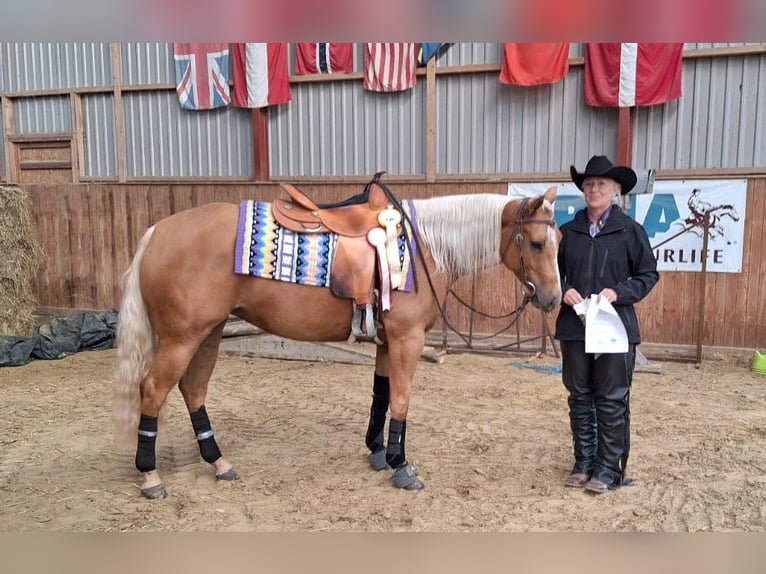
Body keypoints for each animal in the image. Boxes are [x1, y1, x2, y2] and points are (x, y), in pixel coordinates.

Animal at [111, 180, 560, 500]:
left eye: (556, 243)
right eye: (537, 243)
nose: (553, 298)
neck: (421, 247)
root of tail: (157, 232)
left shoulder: (386, 340)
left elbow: (381, 393)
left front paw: (378, 451)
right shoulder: (408, 338)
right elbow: (401, 398)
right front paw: (401, 465)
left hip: (210, 331)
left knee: (193, 389)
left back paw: (218, 462)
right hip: (181, 337)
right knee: (153, 390)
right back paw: (150, 475)